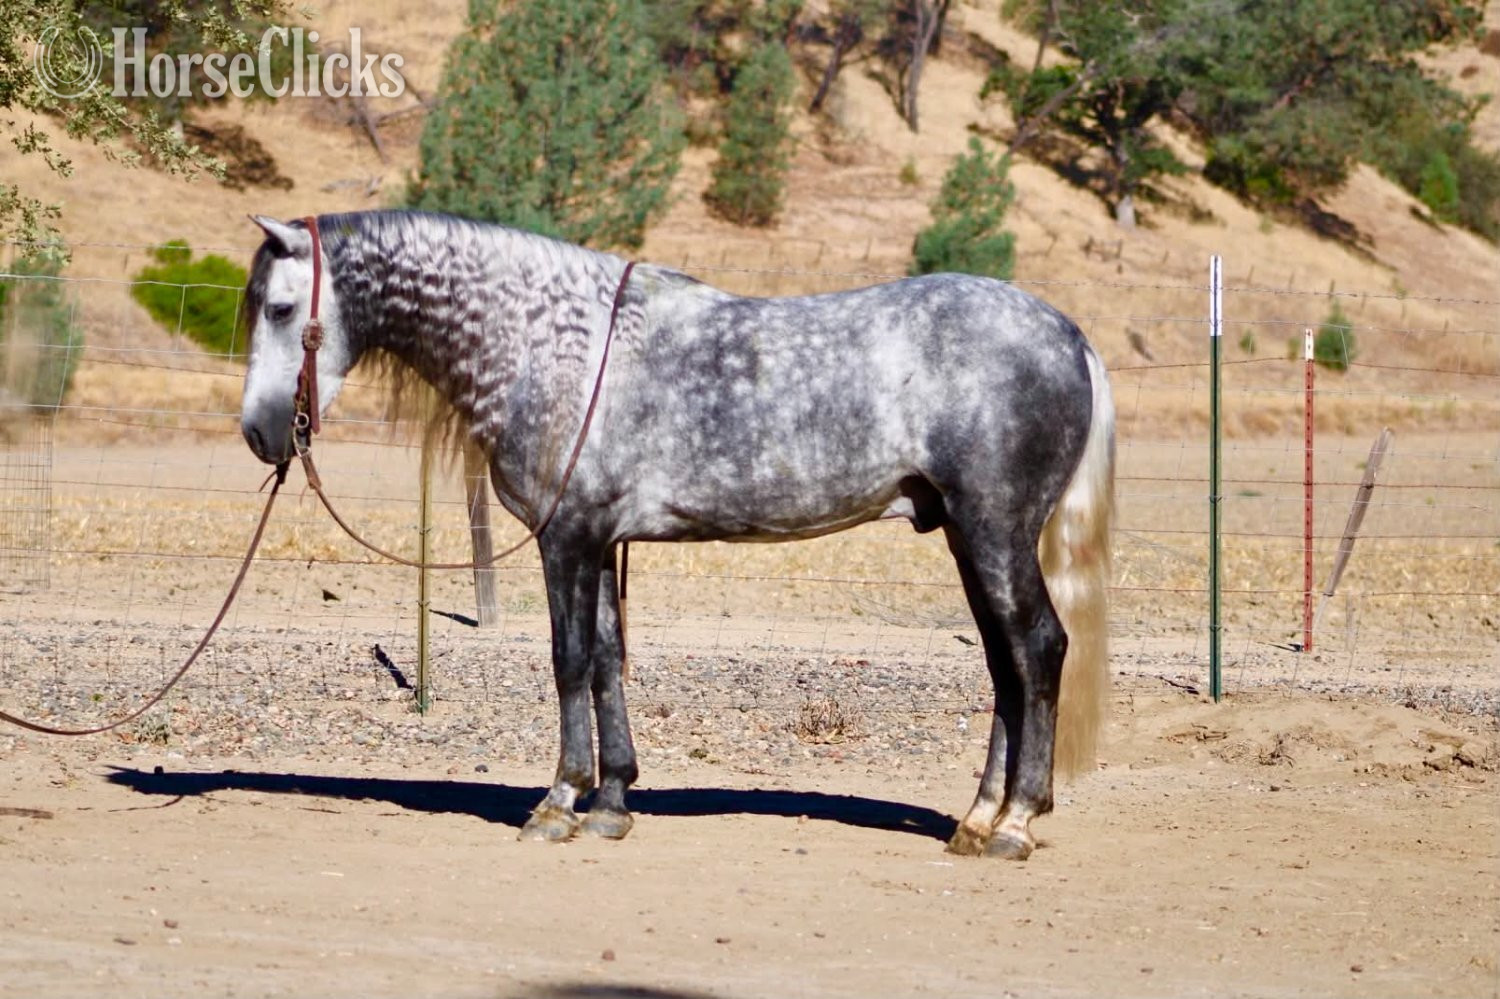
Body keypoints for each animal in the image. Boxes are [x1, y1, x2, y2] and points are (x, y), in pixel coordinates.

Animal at [238, 209, 1114, 860]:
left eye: (280, 309)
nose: (258, 432)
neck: (551, 339)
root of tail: (1070, 335)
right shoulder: (599, 541)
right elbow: (606, 660)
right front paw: (612, 801)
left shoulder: (568, 538)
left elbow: (568, 661)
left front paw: (557, 801)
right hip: (969, 538)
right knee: (1005, 663)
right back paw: (977, 817)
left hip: (995, 532)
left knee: (1037, 648)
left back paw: (1015, 822)